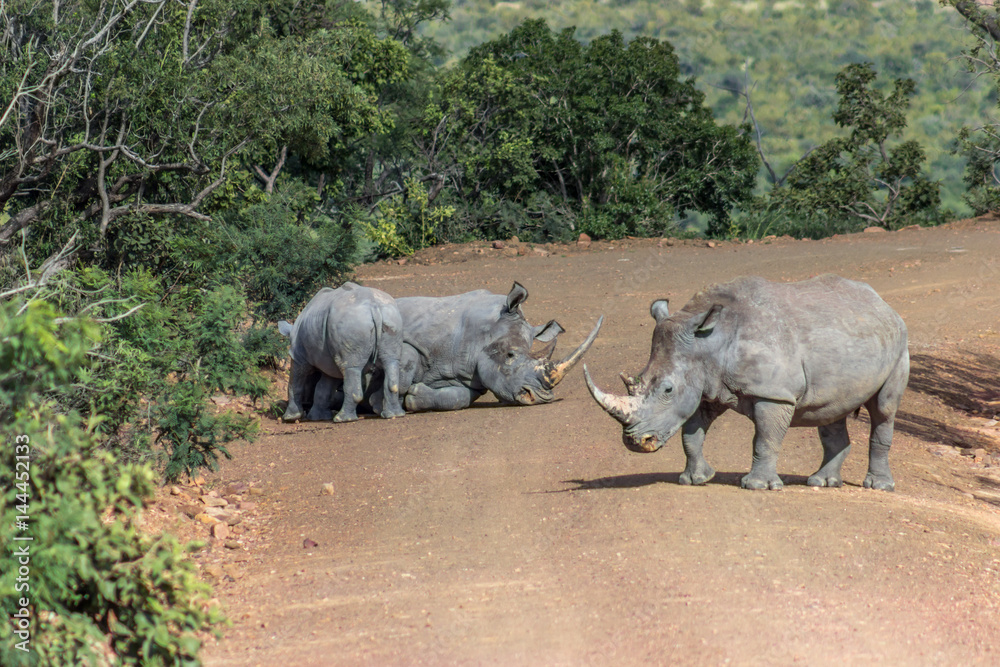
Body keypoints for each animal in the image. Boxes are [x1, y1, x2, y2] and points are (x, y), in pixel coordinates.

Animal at [280, 282, 406, 423]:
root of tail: (374, 307)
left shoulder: (299, 356)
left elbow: (295, 382)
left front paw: (290, 418)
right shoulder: (330, 362)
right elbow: (324, 388)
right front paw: (318, 417)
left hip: (351, 322)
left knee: (350, 367)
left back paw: (342, 419)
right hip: (391, 317)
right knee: (391, 361)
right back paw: (394, 415)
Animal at [382, 282, 603, 412]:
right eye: (510, 355)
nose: (540, 398)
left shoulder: (471, 375)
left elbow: (459, 398)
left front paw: (413, 398)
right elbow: (400, 373)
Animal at [585, 274, 909, 491]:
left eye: (667, 390)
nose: (635, 443)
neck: (710, 342)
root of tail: (883, 304)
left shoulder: (774, 394)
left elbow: (764, 439)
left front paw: (758, 486)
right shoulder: (707, 386)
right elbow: (691, 435)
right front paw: (695, 479)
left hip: (900, 341)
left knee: (884, 409)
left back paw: (877, 487)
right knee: (830, 411)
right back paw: (822, 482)